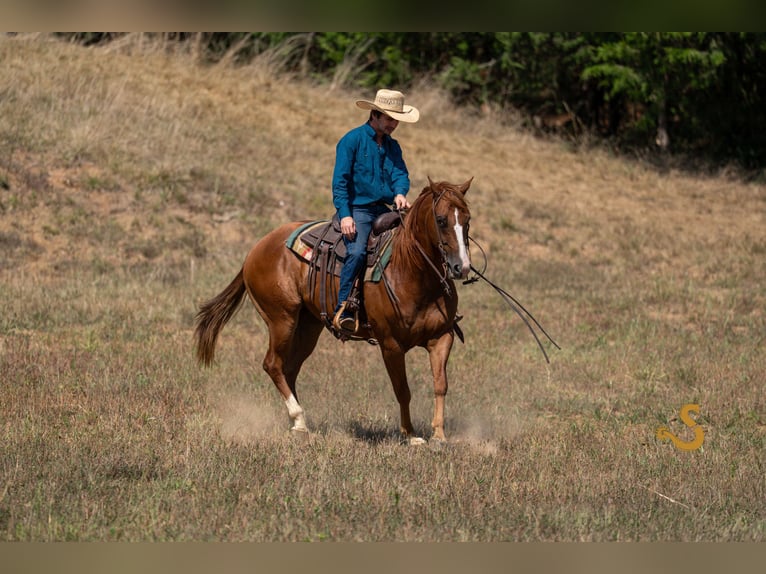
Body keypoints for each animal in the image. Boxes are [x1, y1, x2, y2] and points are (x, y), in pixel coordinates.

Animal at [194, 177, 473, 444]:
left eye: (467, 220)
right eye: (441, 220)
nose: (462, 267)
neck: (410, 270)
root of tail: (255, 251)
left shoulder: (441, 337)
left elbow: (440, 385)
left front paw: (439, 435)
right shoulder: (390, 344)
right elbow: (402, 390)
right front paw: (411, 435)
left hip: (307, 327)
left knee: (289, 368)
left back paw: (298, 425)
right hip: (281, 319)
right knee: (273, 364)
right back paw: (299, 418)